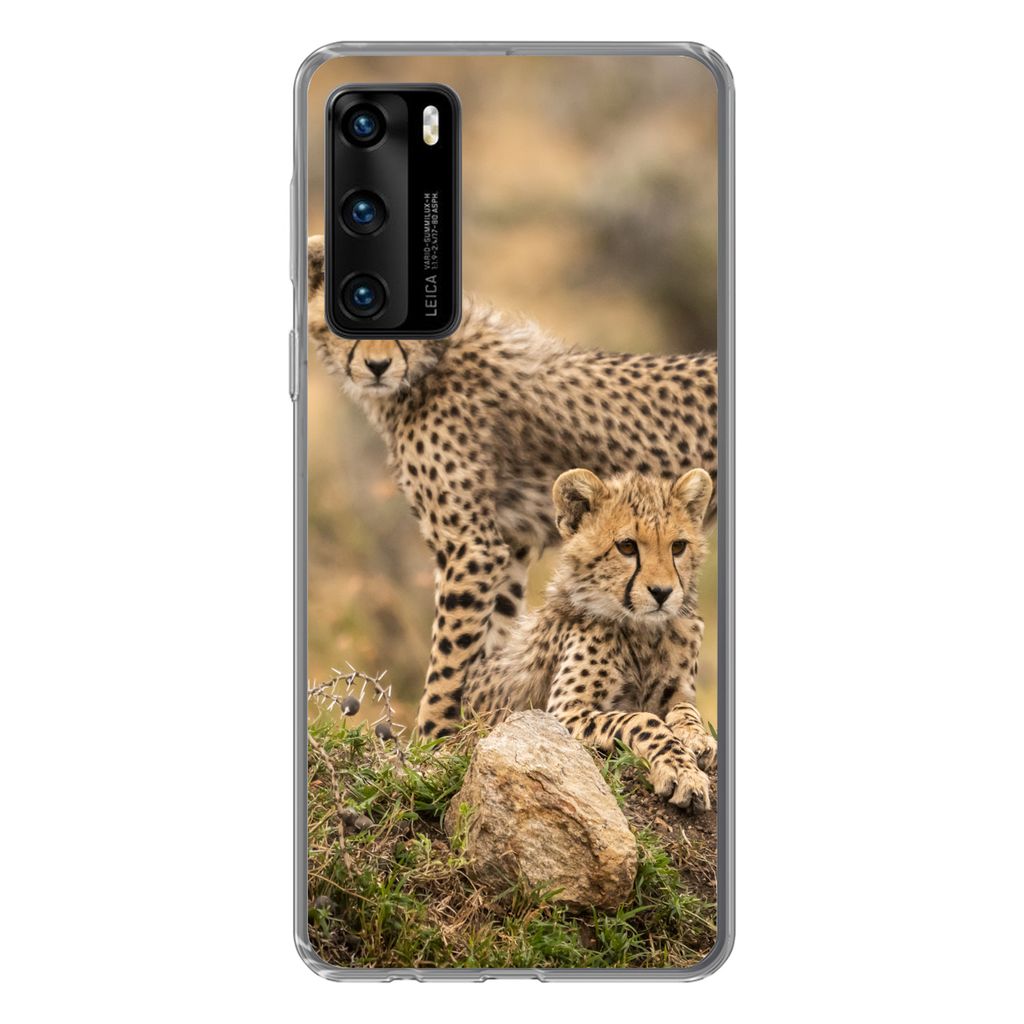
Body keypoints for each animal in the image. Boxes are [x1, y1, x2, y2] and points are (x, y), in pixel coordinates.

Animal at [307, 236, 720, 739]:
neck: (431, 366)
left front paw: (431, 741)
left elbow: (450, 658)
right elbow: (489, 644)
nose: (378, 365)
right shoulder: (507, 543)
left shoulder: (471, 545)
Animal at [462, 466, 717, 811]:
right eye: (627, 546)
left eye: (678, 546)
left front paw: (697, 737)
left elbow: (686, 710)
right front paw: (680, 772)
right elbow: (643, 720)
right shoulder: (561, 713)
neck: (643, 632)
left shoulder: (677, 691)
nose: (663, 593)